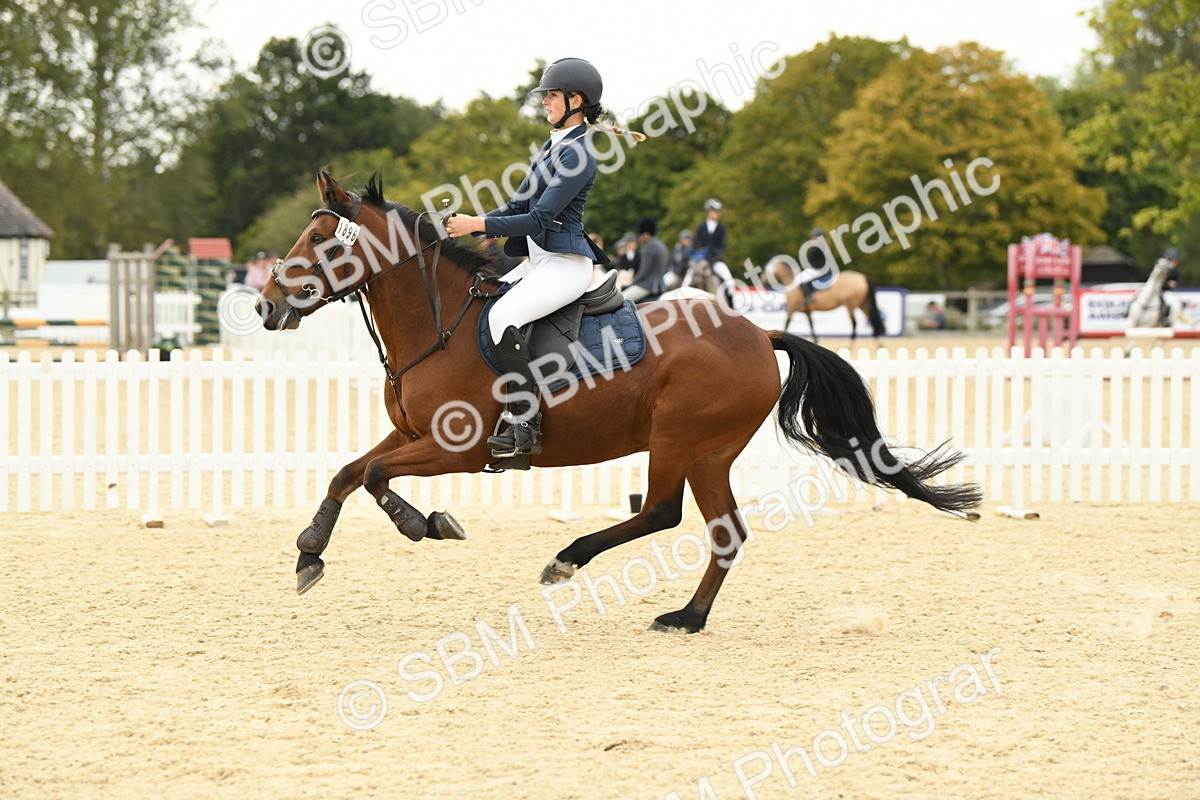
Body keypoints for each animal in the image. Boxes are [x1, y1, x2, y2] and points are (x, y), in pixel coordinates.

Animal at [254, 171, 981, 634]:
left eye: (322, 241)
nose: (266, 305)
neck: (439, 325)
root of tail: (757, 332)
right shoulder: (411, 436)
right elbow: (349, 472)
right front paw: (311, 551)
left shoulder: (453, 448)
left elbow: (376, 475)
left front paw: (424, 523)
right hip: (708, 452)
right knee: (722, 530)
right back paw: (688, 617)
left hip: (680, 439)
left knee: (661, 511)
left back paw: (571, 561)